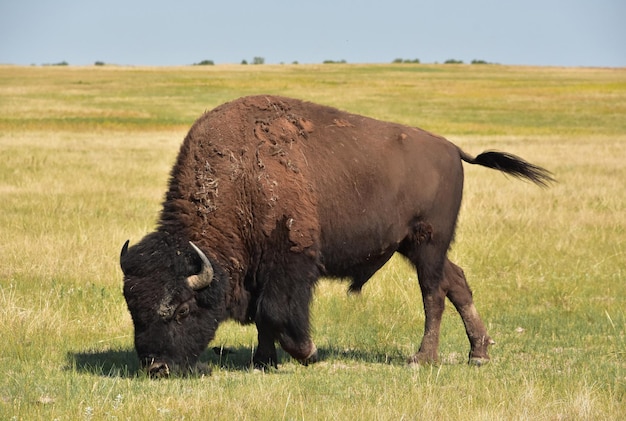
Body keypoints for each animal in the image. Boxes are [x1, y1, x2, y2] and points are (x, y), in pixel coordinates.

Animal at [118, 96, 552, 378]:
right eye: (134, 310)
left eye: (182, 310)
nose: (156, 367)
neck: (241, 179)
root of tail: (453, 150)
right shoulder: (262, 272)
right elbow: (263, 319)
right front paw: (263, 362)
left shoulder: (291, 264)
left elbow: (274, 313)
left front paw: (308, 354)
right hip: (416, 247)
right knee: (456, 282)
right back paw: (478, 353)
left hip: (428, 243)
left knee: (433, 294)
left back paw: (422, 359)